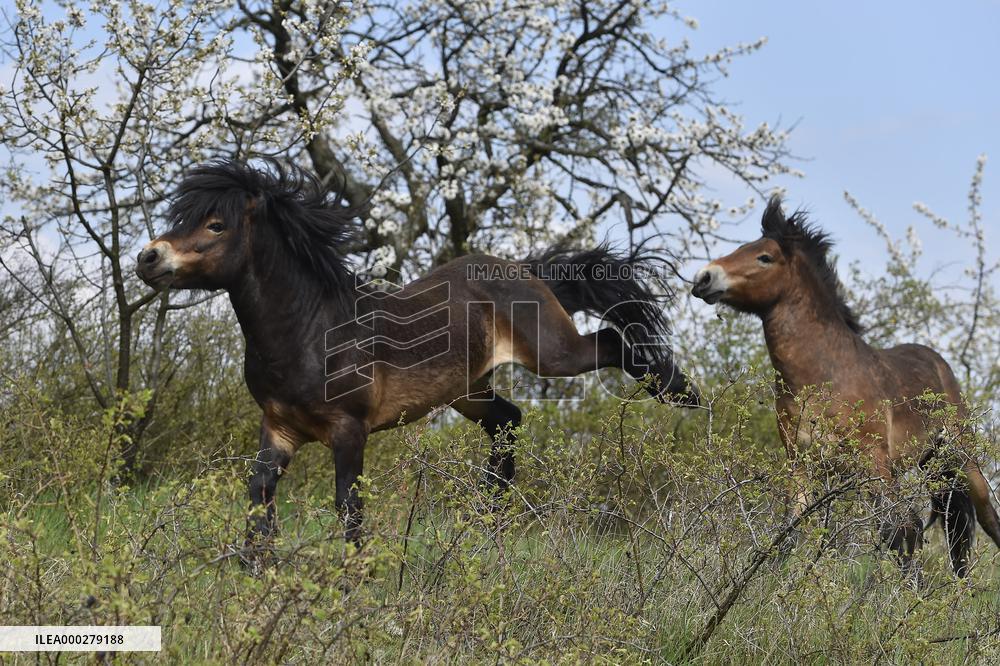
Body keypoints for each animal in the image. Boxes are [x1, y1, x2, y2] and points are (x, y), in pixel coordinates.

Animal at [135, 159, 700, 556]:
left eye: (215, 224)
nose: (148, 258)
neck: (311, 329)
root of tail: (523, 270)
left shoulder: (349, 429)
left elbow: (348, 505)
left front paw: (353, 579)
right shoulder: (278, 428)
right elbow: (259, 495)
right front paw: (256, 567)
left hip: (552, 353)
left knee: (610, 342)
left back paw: (681, 392)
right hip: (468, 390)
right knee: (508, 420)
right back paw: (485, 519)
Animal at [691, 197, 1000, 576]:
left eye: (764, 257)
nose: (704, 277)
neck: (824, 378)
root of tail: (940, 364)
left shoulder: (875, 463)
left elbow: (897, 530)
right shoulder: (801, 465)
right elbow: (788, 533)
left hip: (962, 456)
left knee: (986, 517)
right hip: (931, 463)